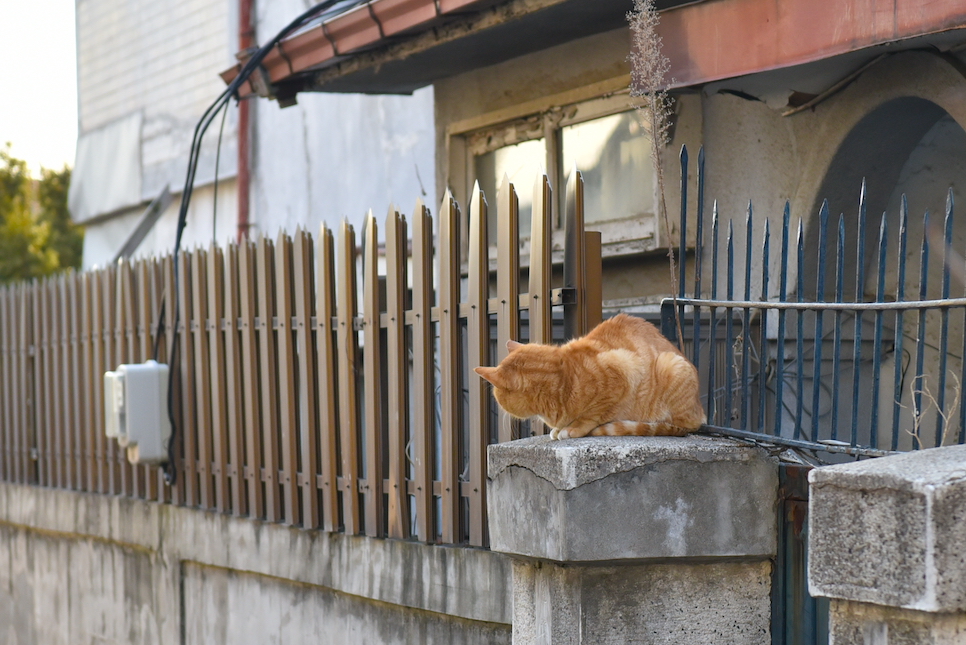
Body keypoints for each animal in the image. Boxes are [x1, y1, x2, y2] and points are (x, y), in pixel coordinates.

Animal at [474, 314, 708, 438]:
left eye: (497, 396)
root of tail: (701, 411)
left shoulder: (625, 369)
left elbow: (592, 414)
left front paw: (573, 428)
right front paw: (560, 427)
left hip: (672, 366)